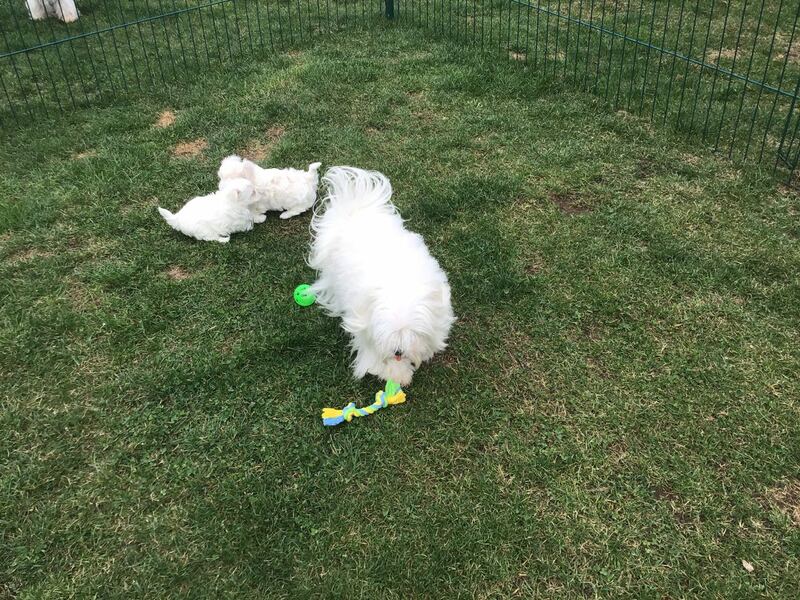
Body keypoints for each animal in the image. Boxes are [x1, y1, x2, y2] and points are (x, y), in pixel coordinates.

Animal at [309, 167, 454, 385]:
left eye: (411, 333)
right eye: (390, 335)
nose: (398, 352)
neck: (399, 285)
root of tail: (354, 210)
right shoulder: (364, 327)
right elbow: (374, 356)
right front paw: (398, 374)